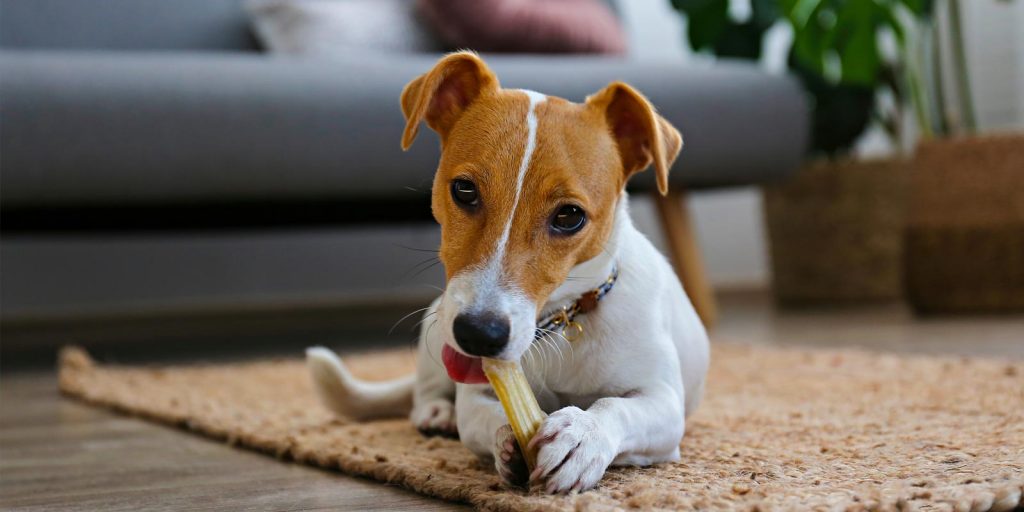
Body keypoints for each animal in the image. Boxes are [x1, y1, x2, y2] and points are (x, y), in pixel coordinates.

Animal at [309, 50, 712, 491]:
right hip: (435, 324)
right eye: (464, 189)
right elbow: (486, 415)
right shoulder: (474, 395)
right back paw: (436, 413)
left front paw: (582, 436)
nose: (477, 334)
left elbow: (615, 407)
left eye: (570, 216)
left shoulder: (663, 403)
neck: (562, 323)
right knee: (426, 390)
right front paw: (508, 442)